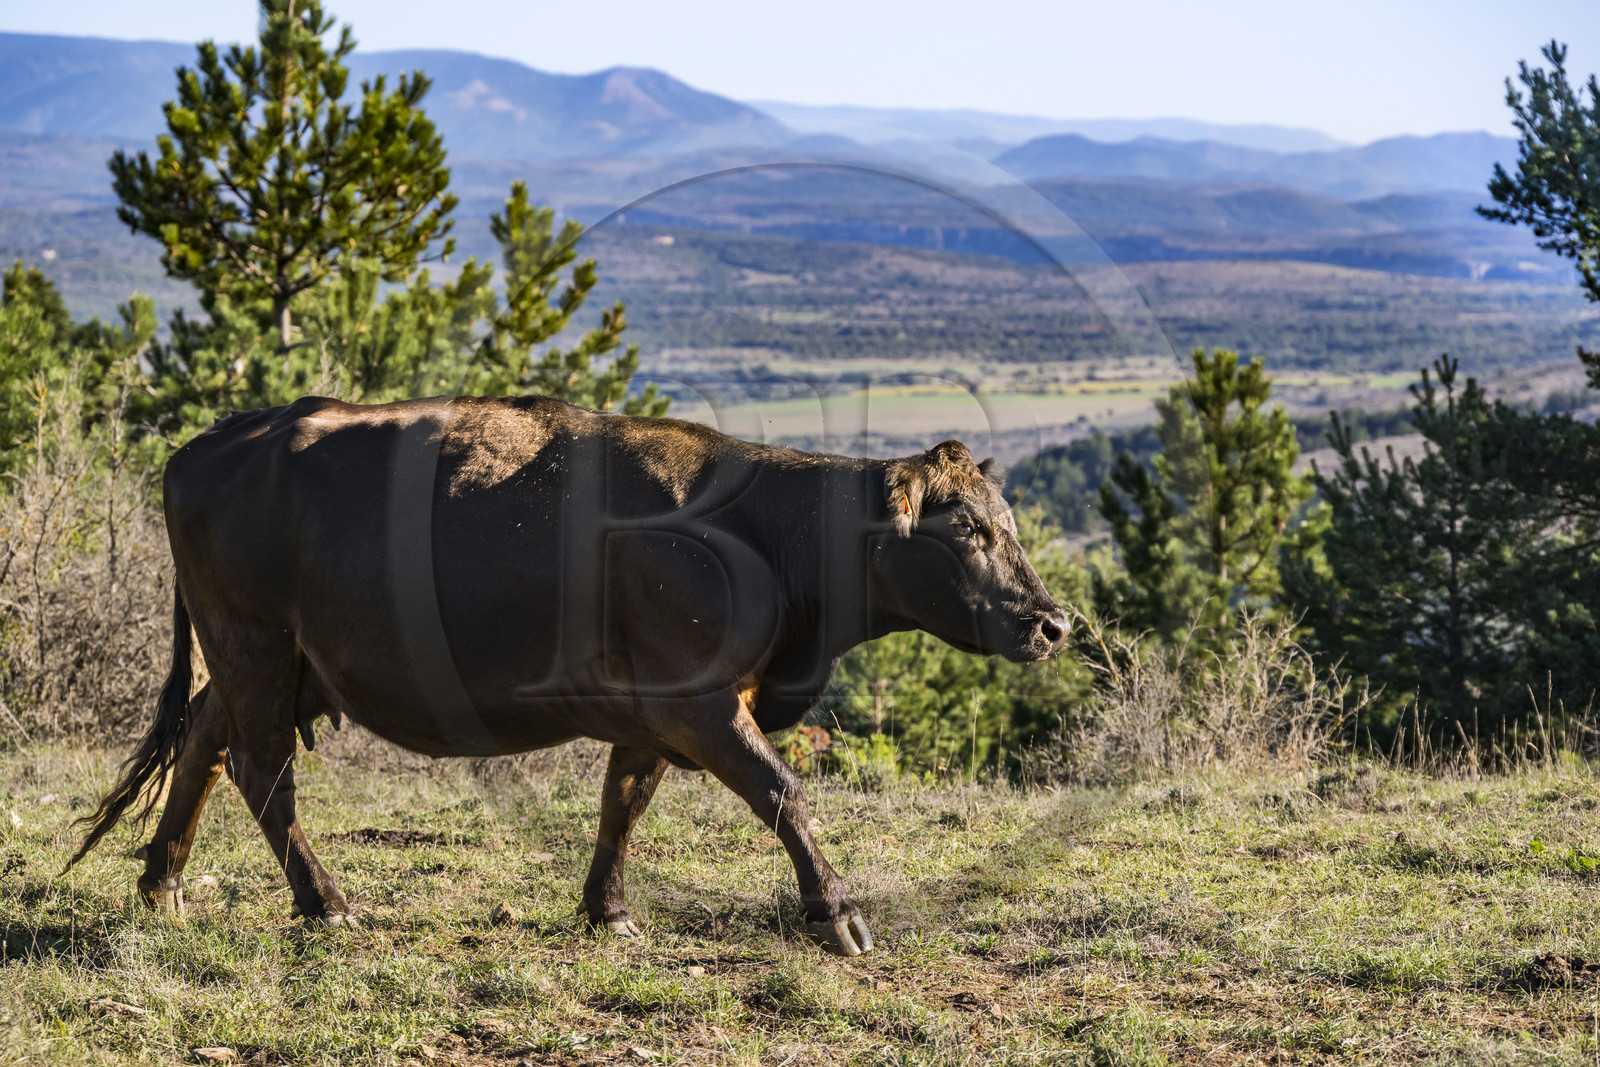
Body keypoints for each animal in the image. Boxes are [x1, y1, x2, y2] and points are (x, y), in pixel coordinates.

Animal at [69, 394, 1068, 956]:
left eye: (1008, 523)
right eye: (967, 528)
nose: (1054, 622)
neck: (764, 535)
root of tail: (215, 440)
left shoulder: (656, 709)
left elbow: (622, 804)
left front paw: (608, 911)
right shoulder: (703, 701)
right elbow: (785, 792)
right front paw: (836, 914)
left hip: (282, 659)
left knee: (204, 741)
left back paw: (162, 884)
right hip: (253, 640)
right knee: (261, 769)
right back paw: (327, 905)